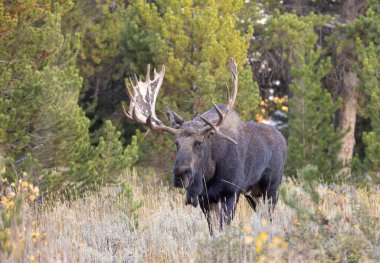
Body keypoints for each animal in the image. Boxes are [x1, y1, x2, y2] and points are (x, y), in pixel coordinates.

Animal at [123, 58, 286, 235]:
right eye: (176, 142)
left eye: (199, 143)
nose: (180, 174)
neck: (209, 173)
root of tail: (283, 139)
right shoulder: (205, 199)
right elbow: (213, 231)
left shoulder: (230, 192)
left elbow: (223, 229)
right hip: (253, 194)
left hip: (271, 189)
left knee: (270, 218)